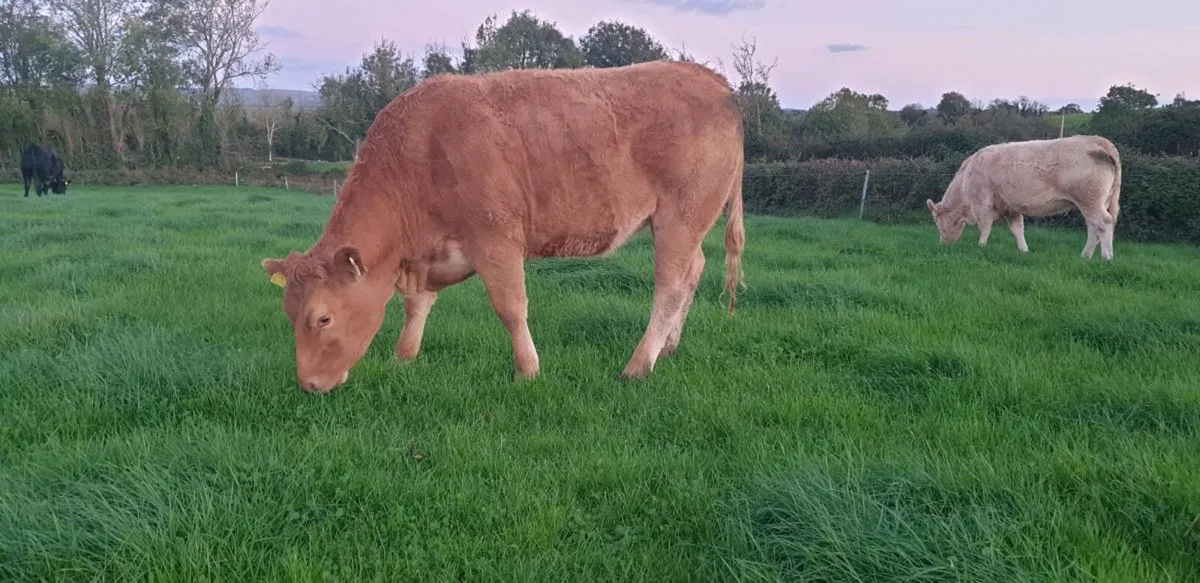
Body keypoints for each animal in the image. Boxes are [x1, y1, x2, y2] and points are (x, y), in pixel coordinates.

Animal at [260, 60, 747, 394]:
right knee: (693, 273)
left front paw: (528, 371)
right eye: (288, 313)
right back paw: (669, 347)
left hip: (680, 216)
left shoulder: (495, 238)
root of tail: (707, 77)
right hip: (685, 225)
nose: (308, 384)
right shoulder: (426, 257)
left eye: (323, 317)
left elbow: (511, 308)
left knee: (670, 286)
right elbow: (417, 306)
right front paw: (404, 358)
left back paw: (639, 365)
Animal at [926, 135, 1122, 260]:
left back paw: (1107, 257)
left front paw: (981, 246)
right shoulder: (1011, 207)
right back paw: (1085, 256)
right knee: (1093, 227)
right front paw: (1024, 251)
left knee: (1103, 224)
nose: (943, 244)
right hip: (1096, 201)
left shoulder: (982, 203)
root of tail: (1097, 140)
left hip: (1089, 199)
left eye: (937, 223)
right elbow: (1018, 229)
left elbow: (985, 227)